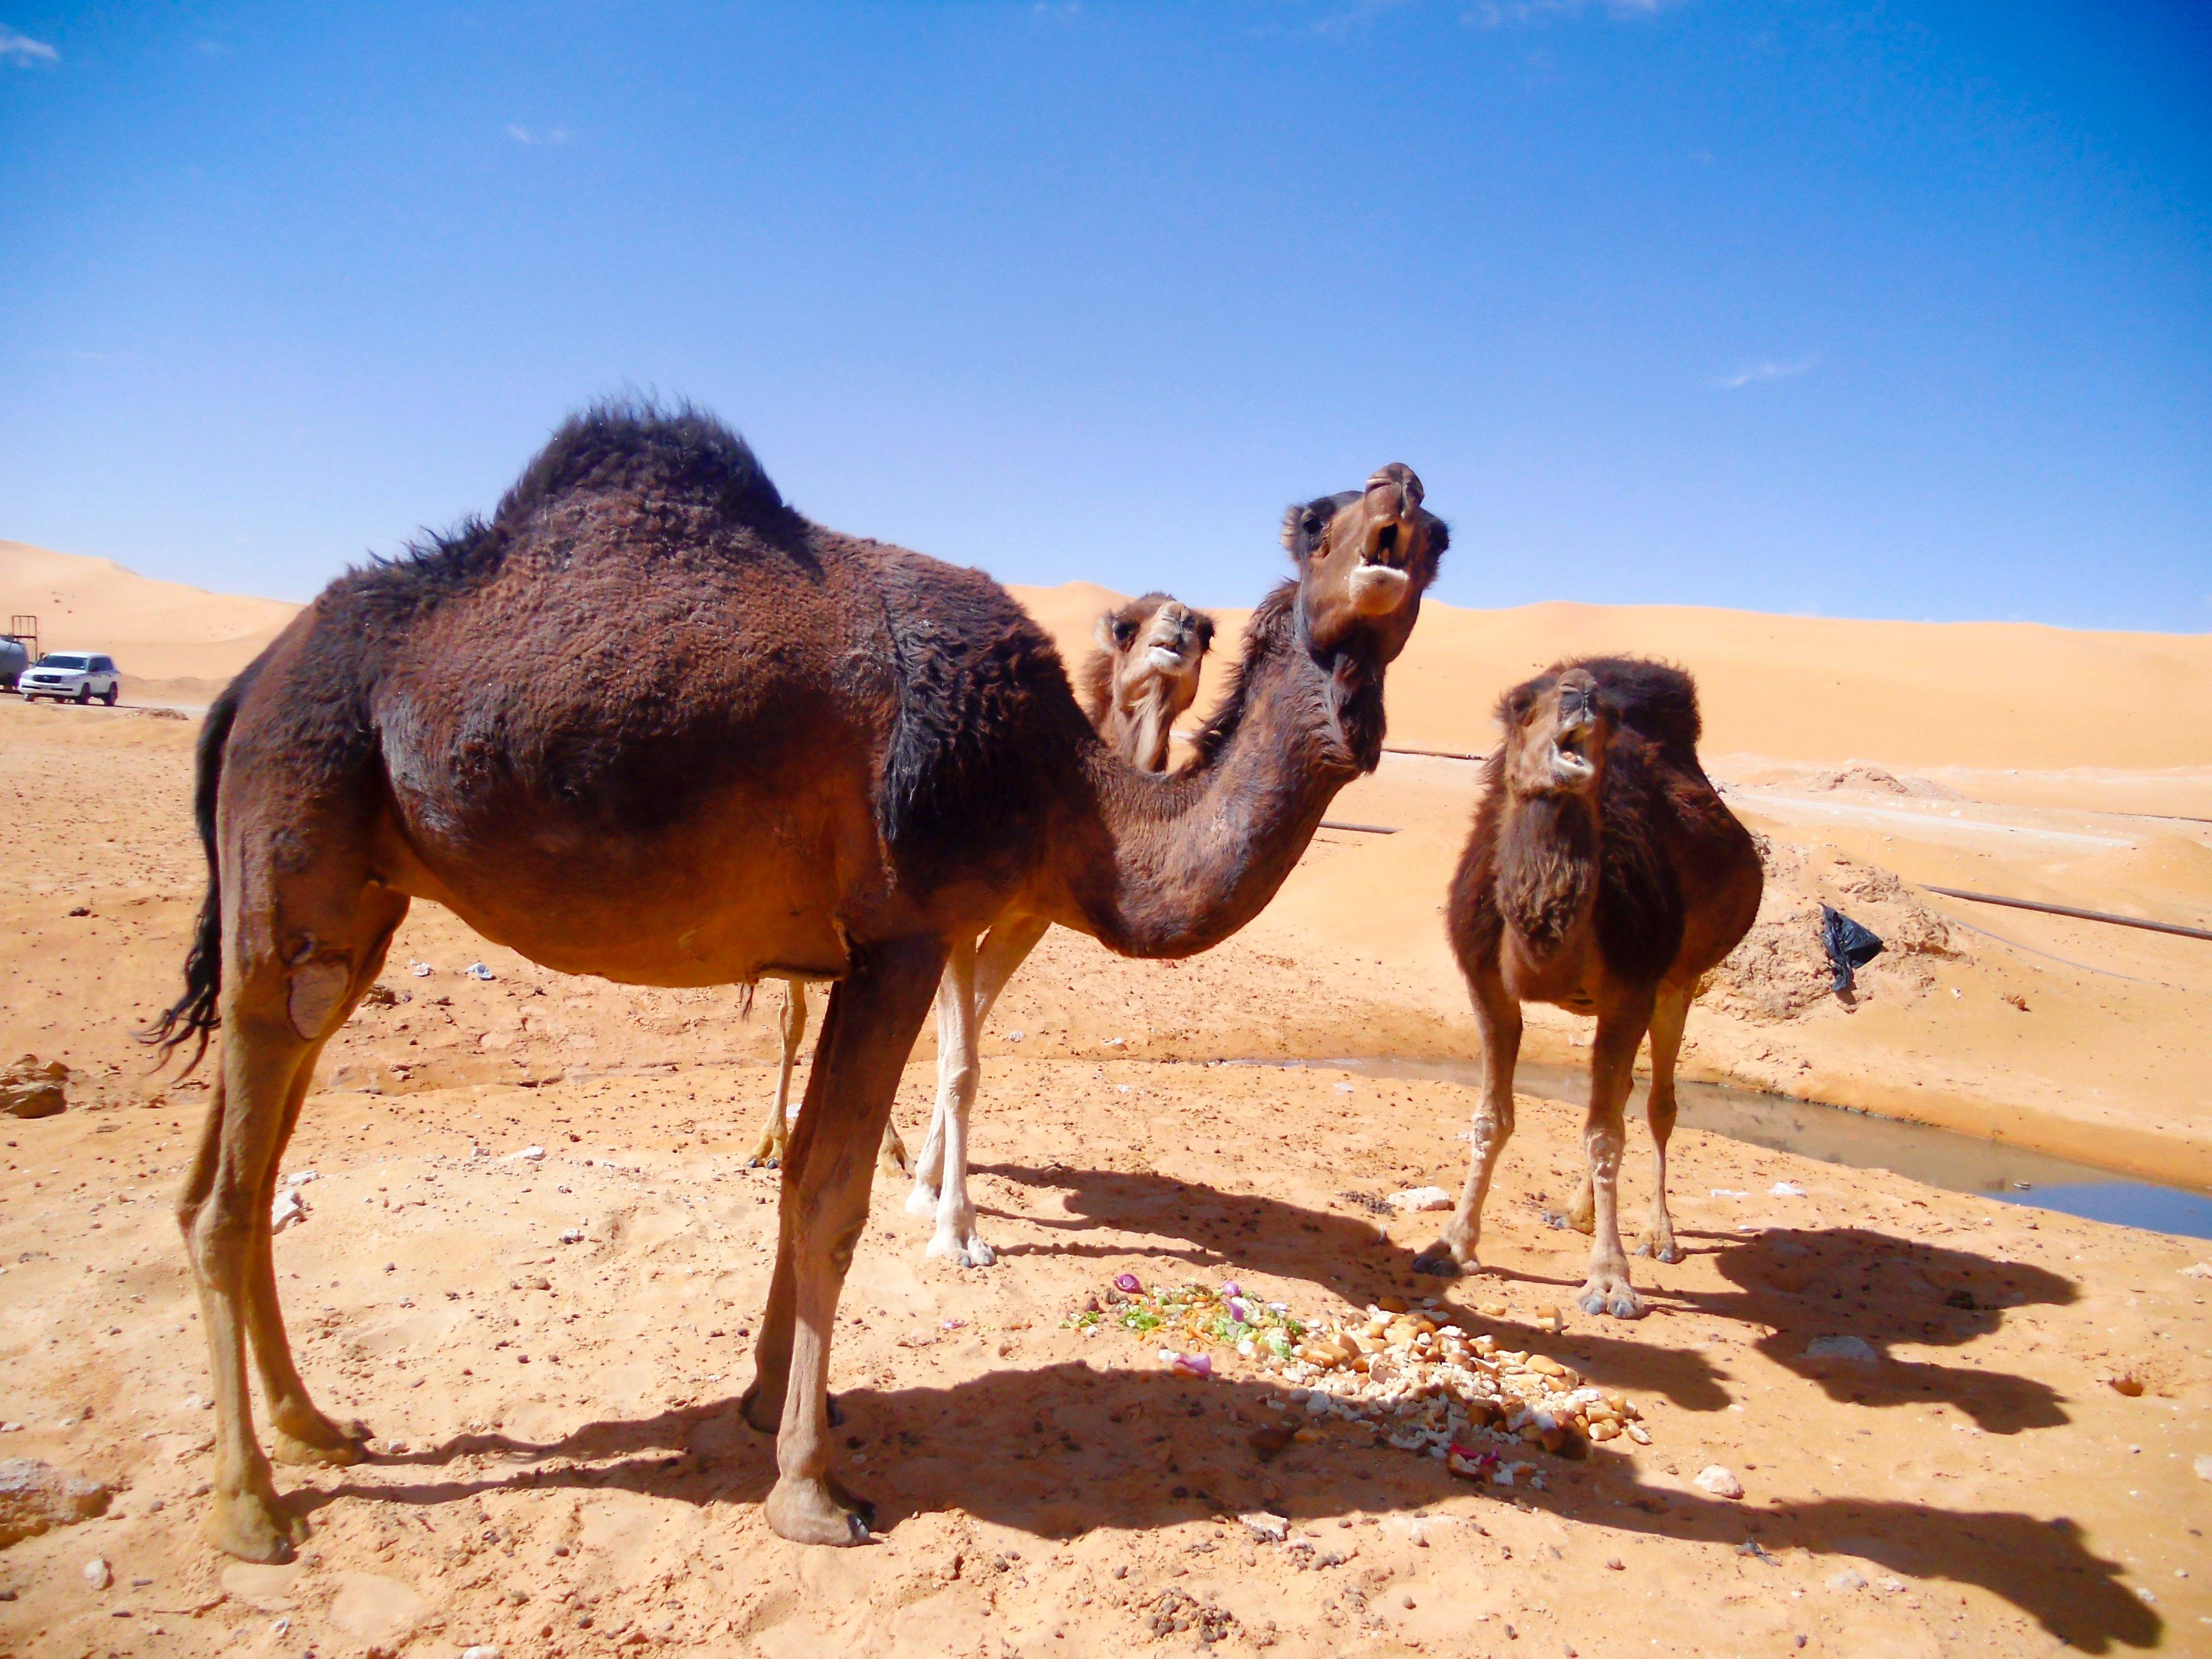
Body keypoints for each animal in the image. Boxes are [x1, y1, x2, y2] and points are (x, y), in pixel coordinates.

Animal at [757, 588, 1221, 1274]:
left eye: (1208, 632)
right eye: (1124, 627)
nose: (1182, 626)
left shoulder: (1025, 920)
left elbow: (965, 1038)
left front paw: (927, 1182)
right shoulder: (951, 917)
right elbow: (959, 1060)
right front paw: (953, 1226)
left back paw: (884, 1149)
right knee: (793, 1016)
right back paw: (771, 1141)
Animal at [1416, 664, 1761, 1327]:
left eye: (1603, 718)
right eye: (1522, 707)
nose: (1581, 692)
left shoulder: (1633, 989)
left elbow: (1605, 1135)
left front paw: (1610, 1282)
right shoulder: (1486, 983)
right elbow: (1491, 1119)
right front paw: (1450, 1247)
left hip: (1679, 981)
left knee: (1656, 1104)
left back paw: (1658, 1234)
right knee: (1620, 1096)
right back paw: (1576, 1214)